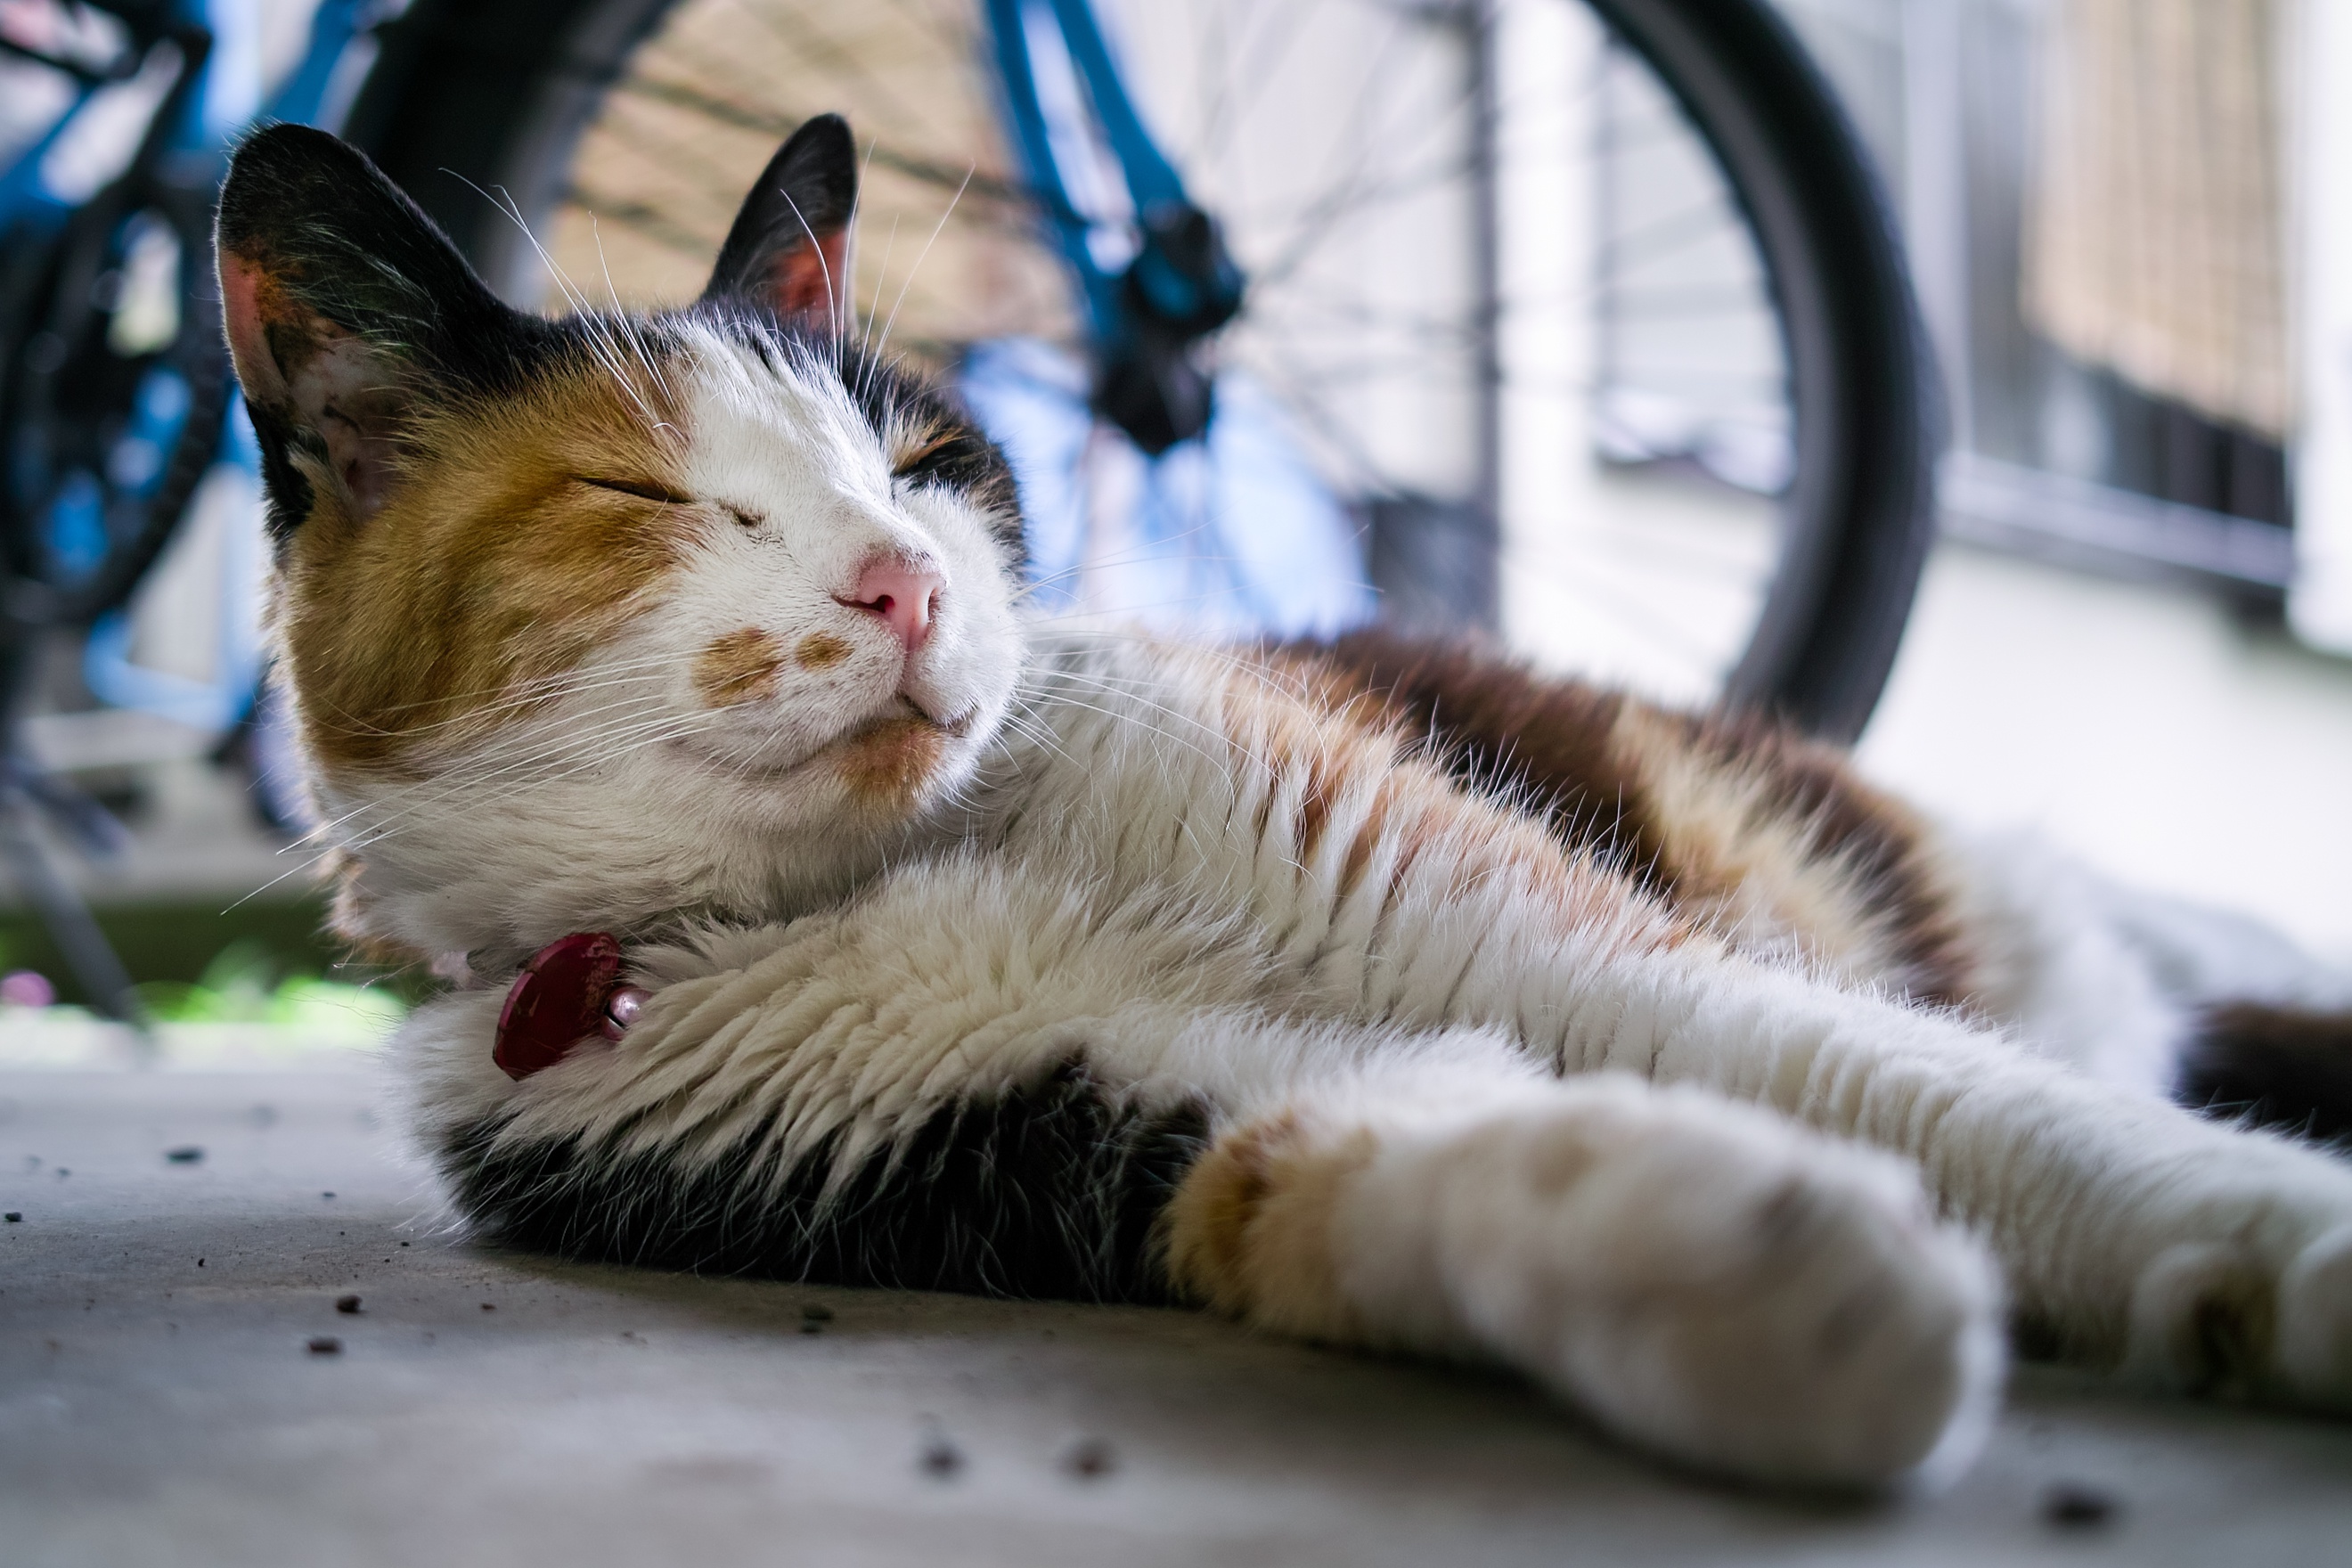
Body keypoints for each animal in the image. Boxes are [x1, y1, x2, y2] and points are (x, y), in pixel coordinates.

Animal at [216, 116, 2352, 1495]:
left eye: (923, 463)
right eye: (646, 497)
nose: (903, 582)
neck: (918, 863)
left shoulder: (1542, 931)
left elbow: (1971, 1112)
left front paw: (2274, 1248)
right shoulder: (1073, 1118)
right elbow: (1337, 1169)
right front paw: (1775, 1283)